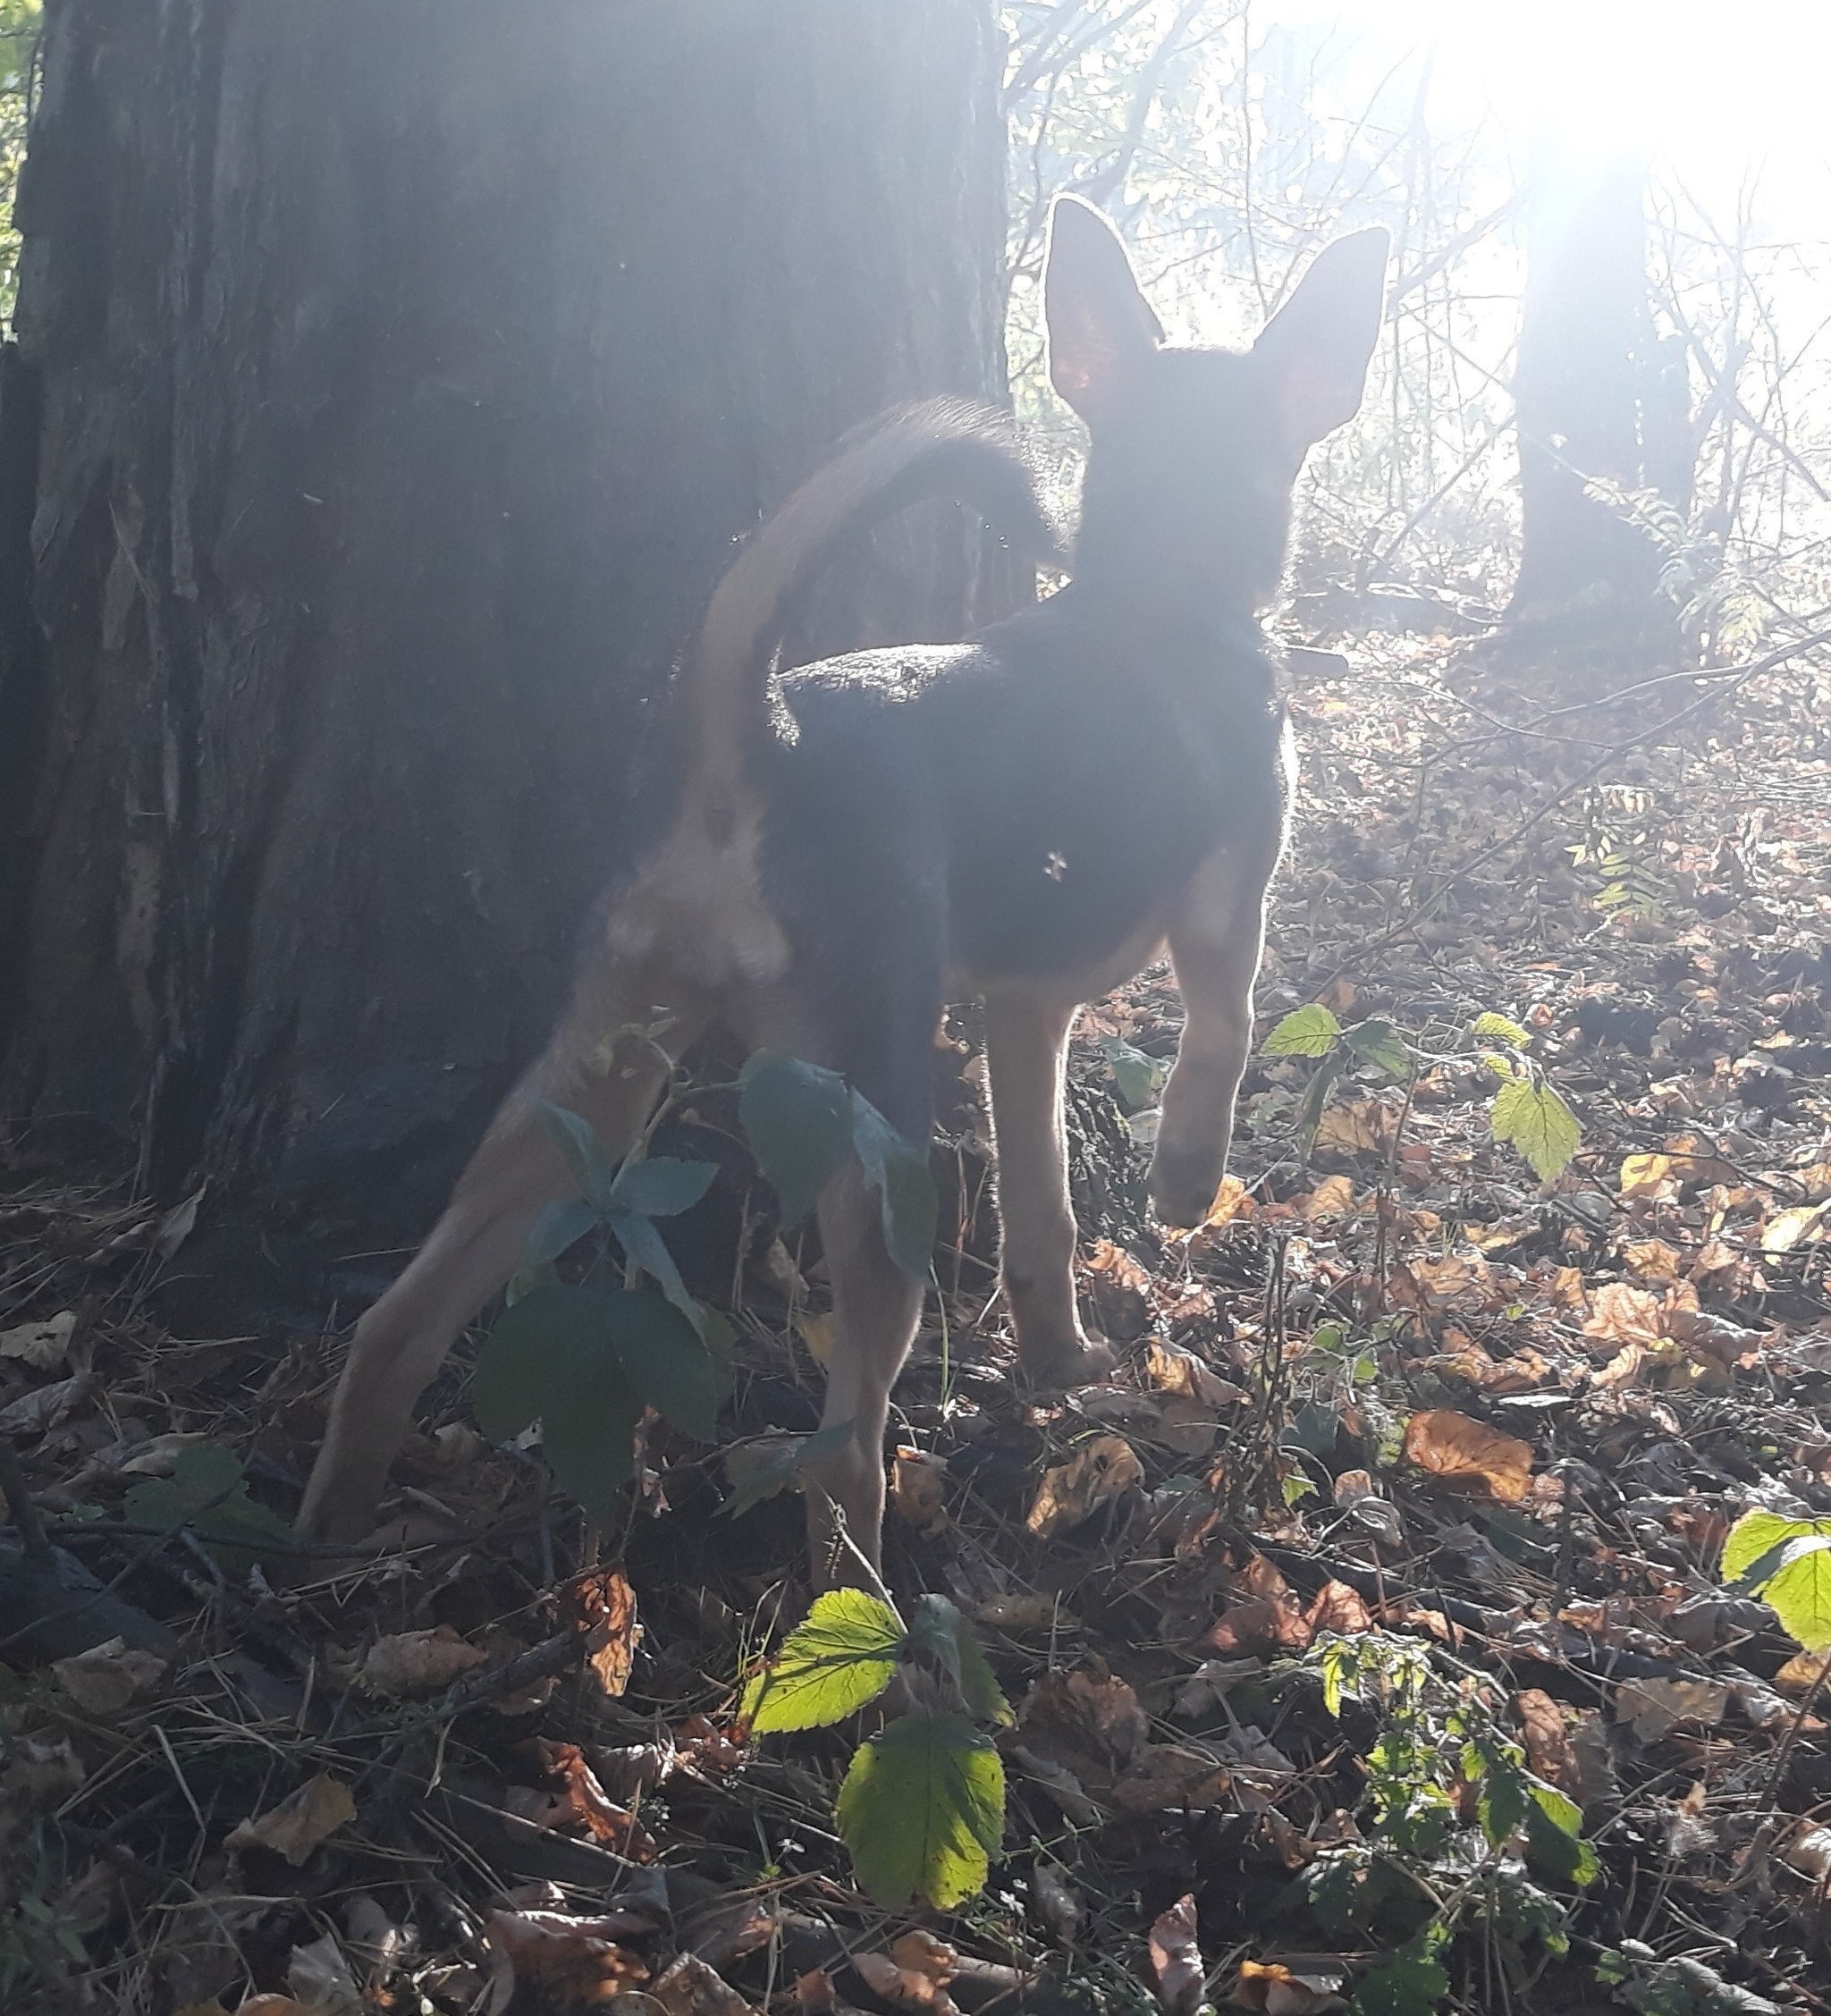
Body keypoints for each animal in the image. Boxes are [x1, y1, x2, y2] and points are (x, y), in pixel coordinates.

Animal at [300, 200, 1387, 1572]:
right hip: (871, 1142)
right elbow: (1224, 1035)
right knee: (841, 1451)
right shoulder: (1224, 908)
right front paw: (1188, 1181)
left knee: (398, 1320)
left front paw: (1060, 1360)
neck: (1162, 585)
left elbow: (1043, 1211)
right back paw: (867, 1597)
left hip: (592, 1074)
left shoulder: (1024, 1011)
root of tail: (759, 741)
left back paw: (322, 1529)